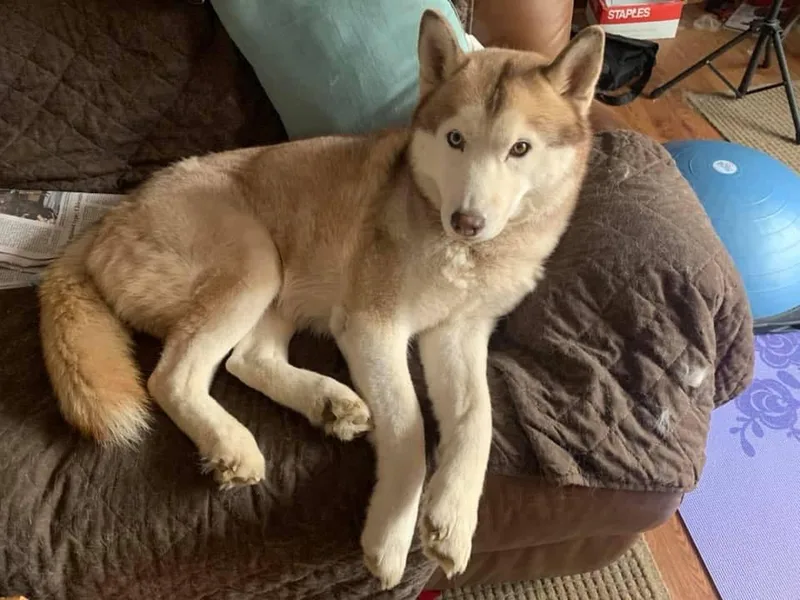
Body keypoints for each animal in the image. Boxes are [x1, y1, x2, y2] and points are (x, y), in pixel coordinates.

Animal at [37, 11, 604, 590]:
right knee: (172, 377)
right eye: (455, 139)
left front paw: (452, 520)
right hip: (255, 261)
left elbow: (477, 422)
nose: (466, 221)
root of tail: (111, 215)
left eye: (520, 149)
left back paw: (327, 402)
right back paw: (231, 443)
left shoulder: (456, 335)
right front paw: (389, 535)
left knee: (247, 360)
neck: (465, 255)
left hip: (279, 287)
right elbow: (410, 428)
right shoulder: (372, 327)